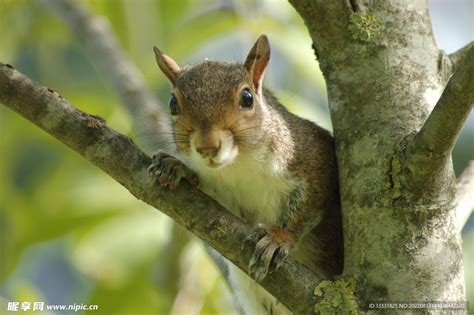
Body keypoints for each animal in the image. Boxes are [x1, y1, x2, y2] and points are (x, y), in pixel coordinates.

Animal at [147, 35, 340, 315]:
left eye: (247, 98)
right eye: (173, 104)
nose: (207, 147)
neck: (237, 166)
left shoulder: (314, 157)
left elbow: (309, 204)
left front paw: (277, 238)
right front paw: (176, 168)